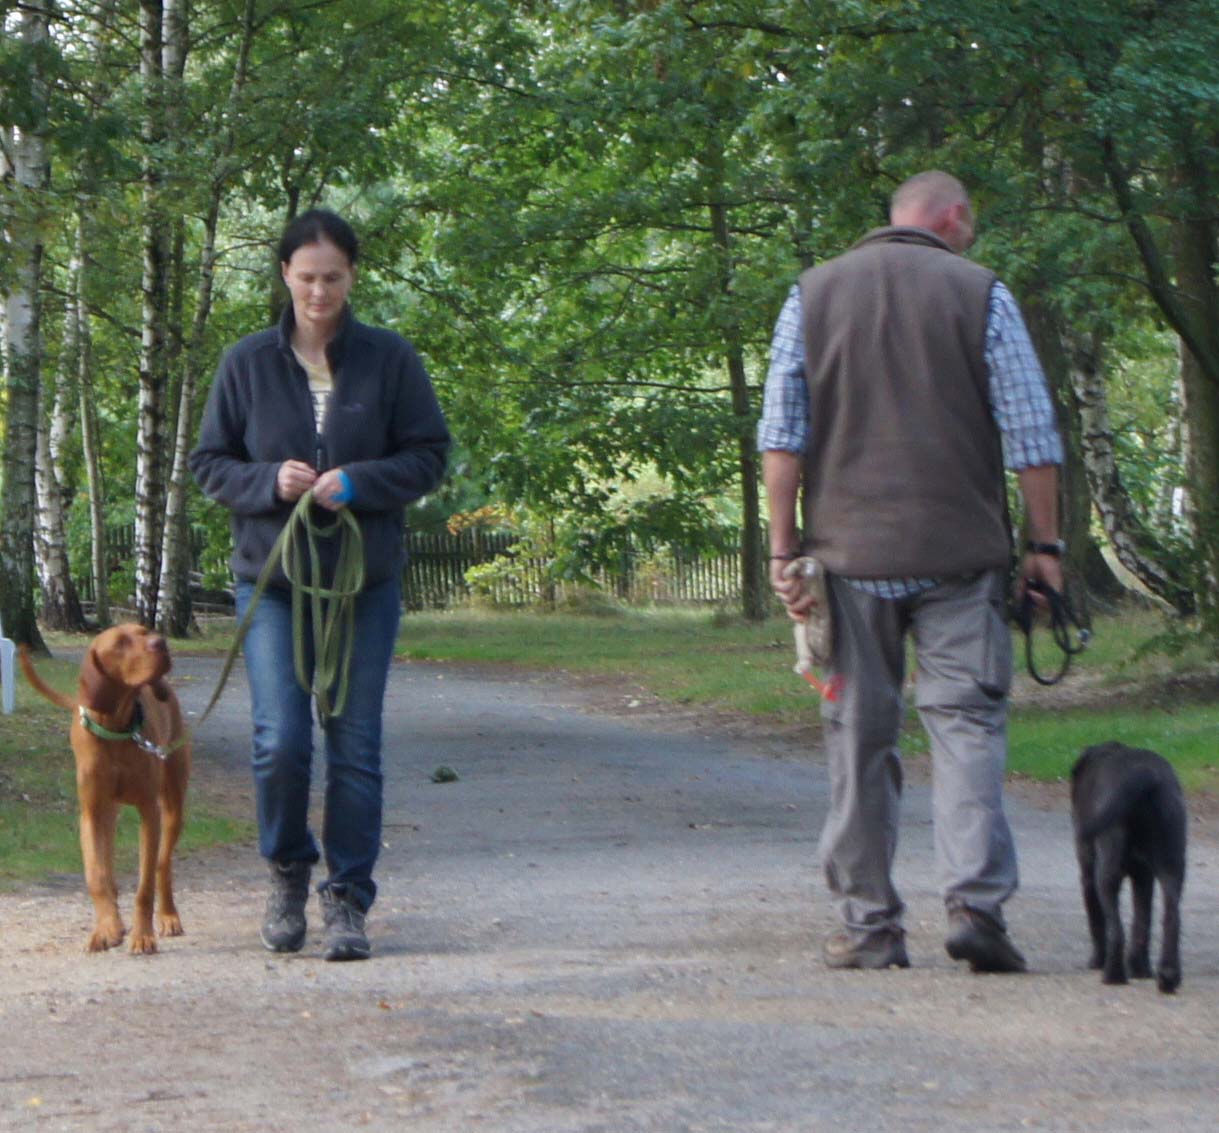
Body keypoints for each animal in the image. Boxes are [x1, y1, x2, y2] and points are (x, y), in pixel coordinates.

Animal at [19, 624, 191, 951]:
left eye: (144, 631)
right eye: (120, 643)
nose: (161, 642)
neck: (116, 730)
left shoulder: (149, 812)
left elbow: (145, 883)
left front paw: (143, 935)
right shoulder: (91, 812)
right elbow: (96, 876)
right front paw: (106, 929)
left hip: (173, 803)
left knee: (163, 865)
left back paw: (169, 916)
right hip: (109, 814)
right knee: (110, 869)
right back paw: (115, 919)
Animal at [1072, 741, 1184, 990]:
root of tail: (1145, 777)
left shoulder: (1087, 876)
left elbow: (1096, 922)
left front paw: (1096, 960)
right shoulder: (1144, 877)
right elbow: (1142, 919)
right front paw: (1140, 969)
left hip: (1106, 871)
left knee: (1115, 929)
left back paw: (1112, 974)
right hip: (1172, 863)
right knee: (1169, 918)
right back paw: (1166, 975)